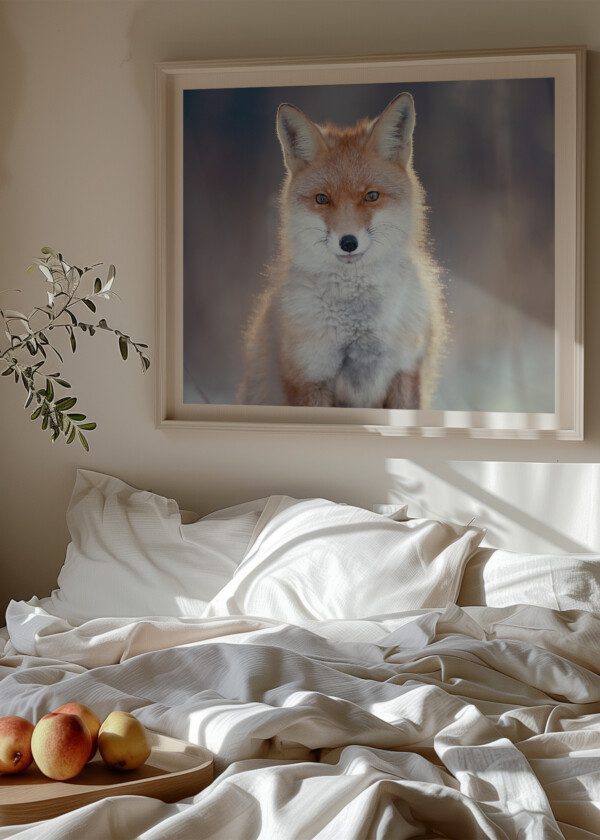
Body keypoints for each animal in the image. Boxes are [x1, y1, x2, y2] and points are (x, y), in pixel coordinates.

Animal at [238, 93, 447, 409]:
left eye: (371, 196)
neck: (359, 326)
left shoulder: (406, 372)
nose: (348, 242)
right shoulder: (310, 377)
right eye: (322, 199)